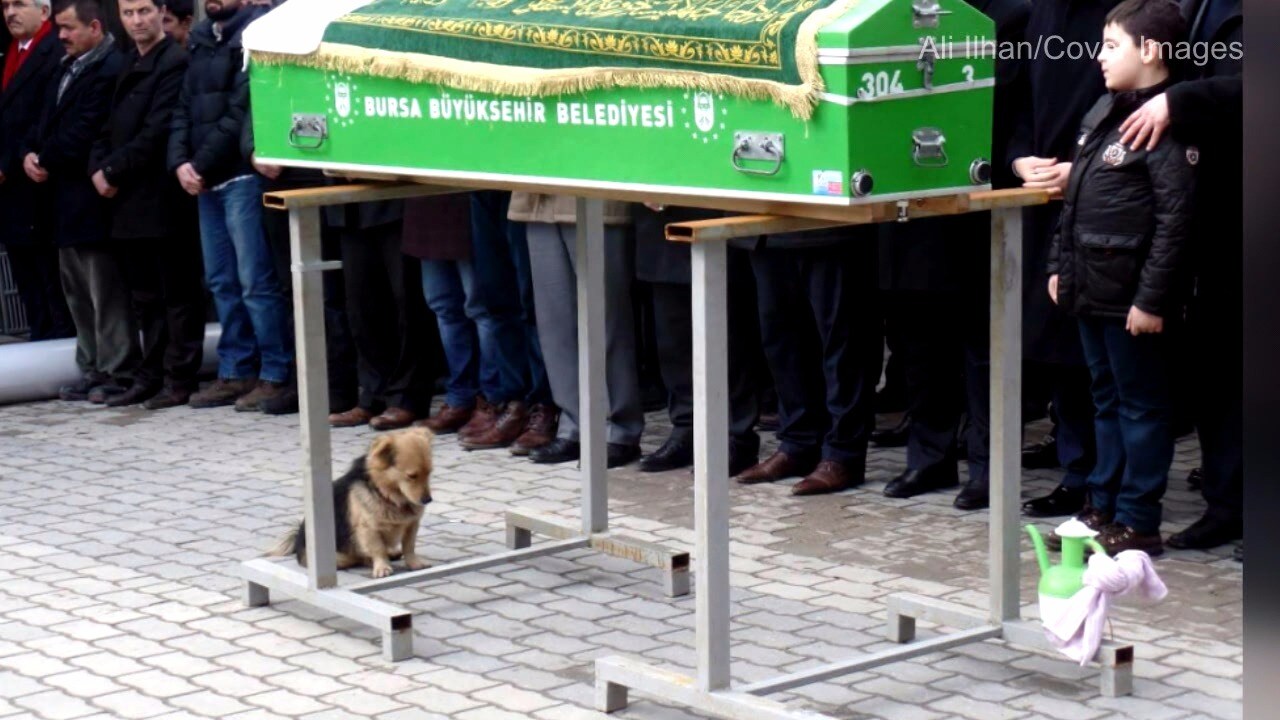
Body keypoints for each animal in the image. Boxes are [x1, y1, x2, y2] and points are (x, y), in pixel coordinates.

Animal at [268, 425, 435, 576]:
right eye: (411, 476)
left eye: (429, 473)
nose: (428, 500)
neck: (388, 494)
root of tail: (298, 539)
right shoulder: (368, 529)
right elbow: (378, 549)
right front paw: (382, 567)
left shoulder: (412, 525)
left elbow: (409, 547)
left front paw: (414, 563)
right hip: (339, 558)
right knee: (359, 558)